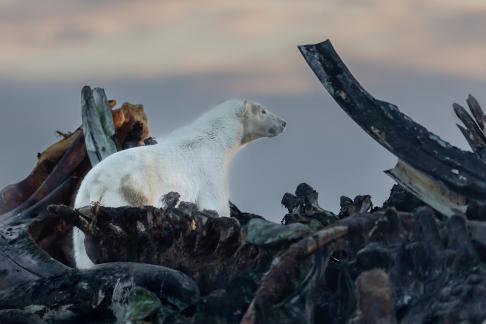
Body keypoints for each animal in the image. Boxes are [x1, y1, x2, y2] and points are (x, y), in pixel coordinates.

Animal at [72, 98, 284, 268]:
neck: (216, 138)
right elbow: (215, 204)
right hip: (127, 192)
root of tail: (96, 185)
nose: (283, 122)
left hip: (80, 202)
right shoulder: (209, 170)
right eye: (263, 111)